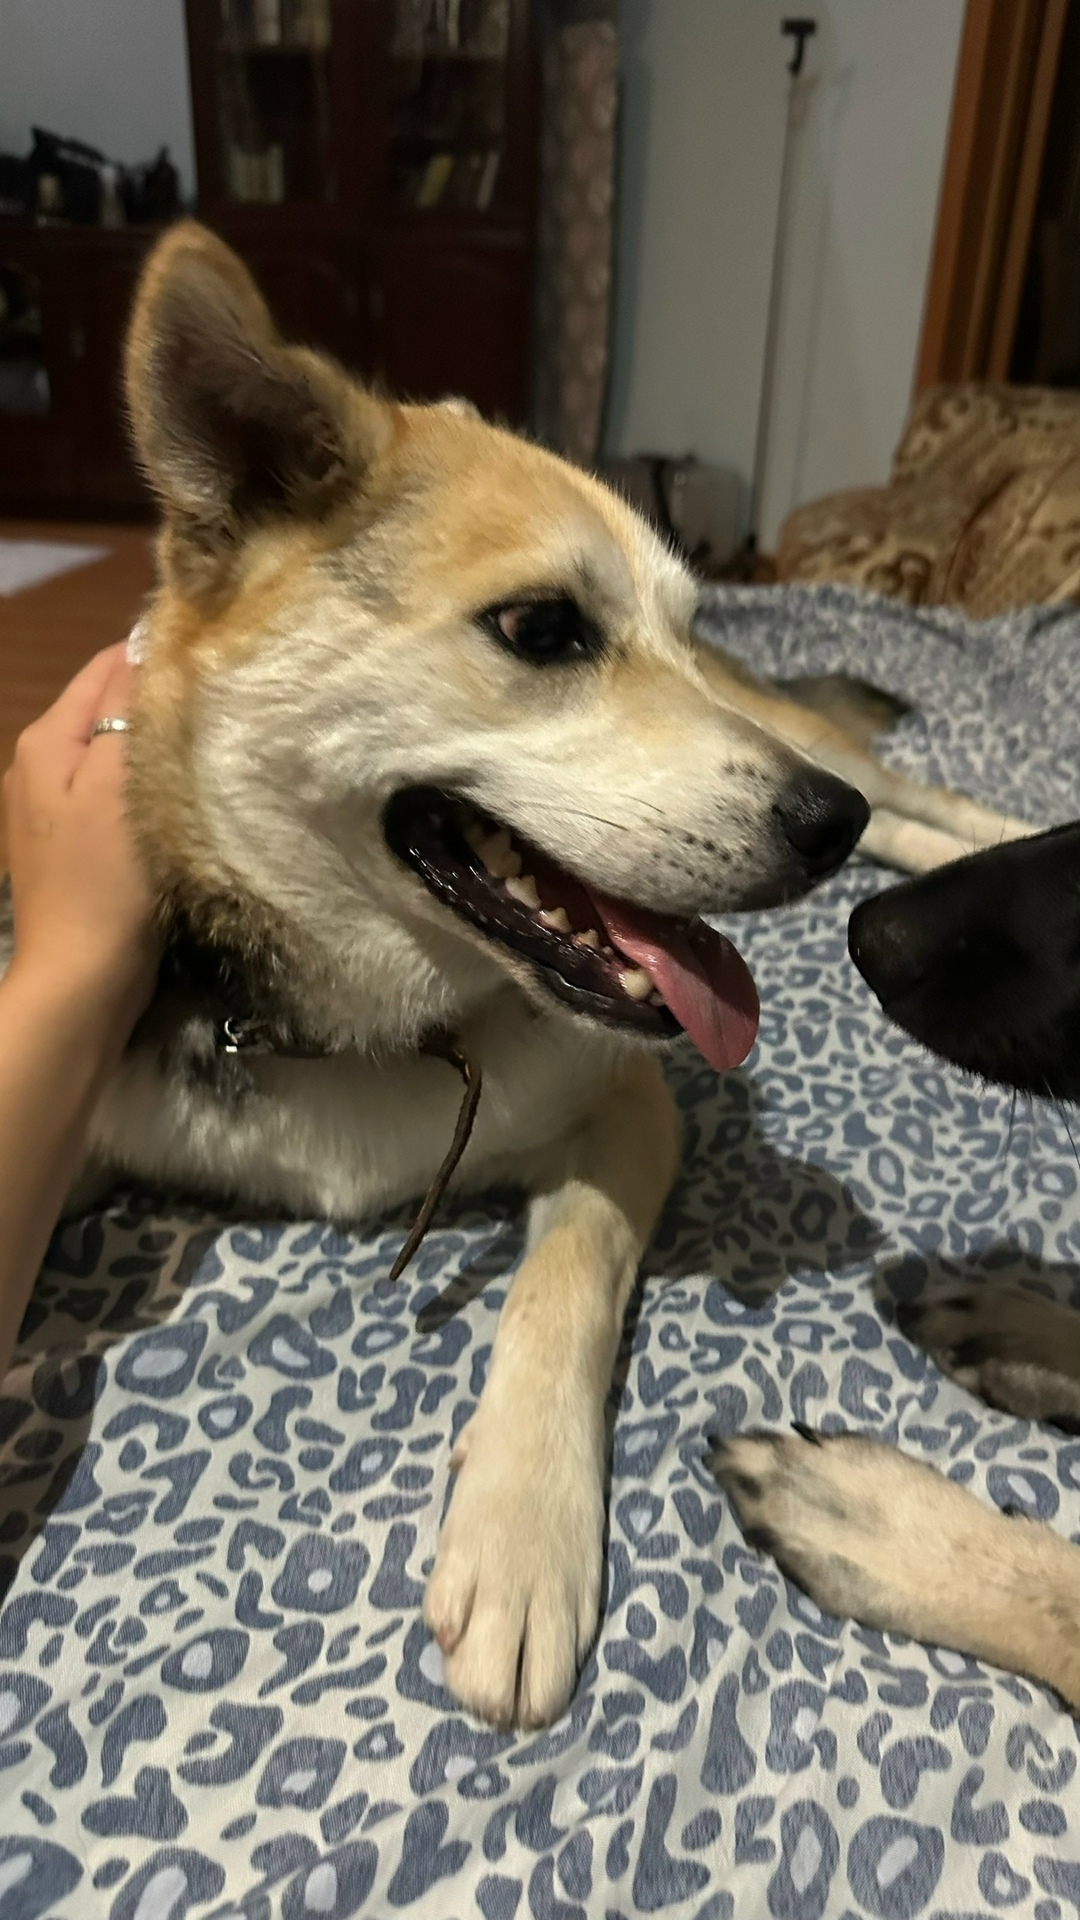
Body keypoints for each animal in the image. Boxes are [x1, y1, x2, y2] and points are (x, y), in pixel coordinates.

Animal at [0, 222, 1032, 1729]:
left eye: (668, 619)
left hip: (816, 748)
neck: (374, 1031)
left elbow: (565, 1285)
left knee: (921, 799)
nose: (820, 828)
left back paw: (992, 846)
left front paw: (521, 1538)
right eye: (543, 630)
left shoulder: (633, 1105)